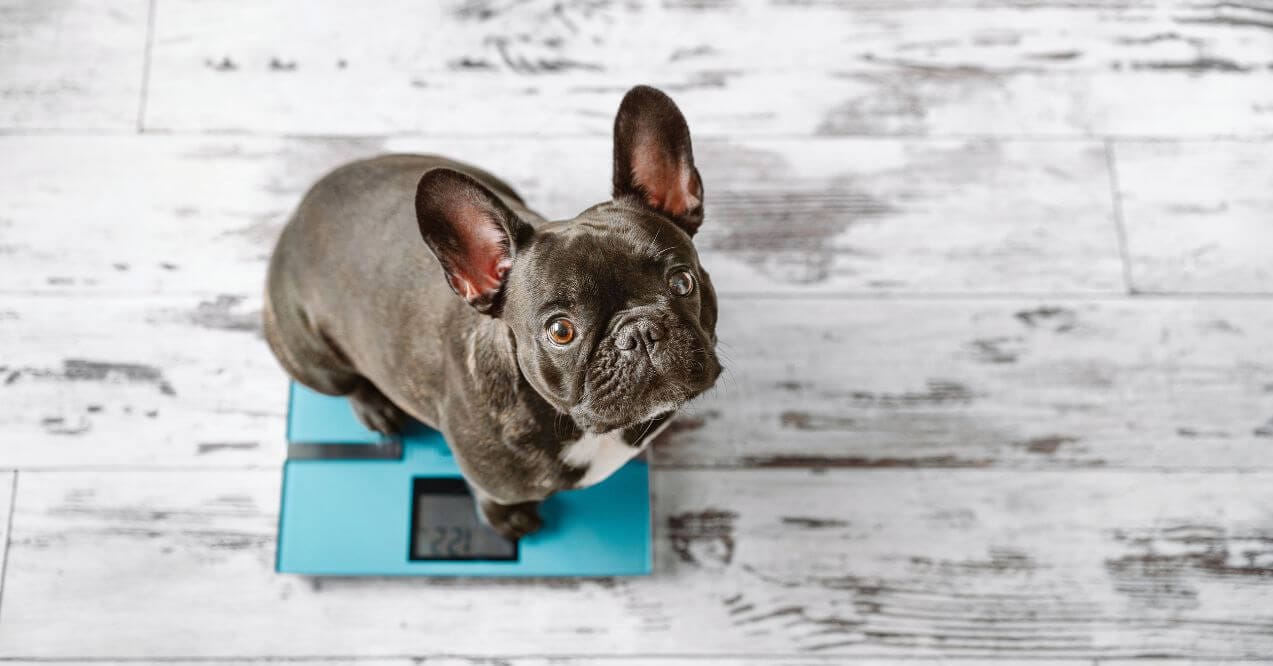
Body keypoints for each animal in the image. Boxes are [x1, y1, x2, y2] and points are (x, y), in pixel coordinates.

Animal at [260, 84, 717, 542]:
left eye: (682, 282)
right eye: (561, 331)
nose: (639, 332)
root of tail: (300, 214)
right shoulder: (490, 479)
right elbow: (489, 496)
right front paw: (507, 521)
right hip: (313, 360)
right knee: (349, 384)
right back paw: (376, 408)